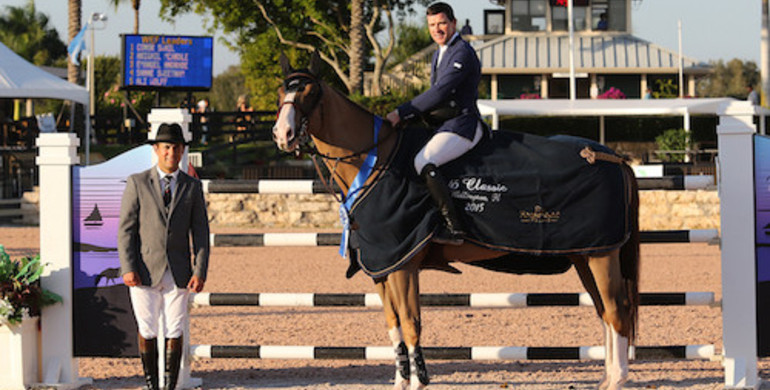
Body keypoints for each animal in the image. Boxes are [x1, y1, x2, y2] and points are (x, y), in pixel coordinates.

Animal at [270, 52, 636, 390]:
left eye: (309, 92)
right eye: (282, 92)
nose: (282, 134)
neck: (376, 160)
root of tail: (611, 156)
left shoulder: (402, 264)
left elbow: (411, 322)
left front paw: (419, 382)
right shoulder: (382, 268)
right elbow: (393, 324)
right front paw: (401, 381)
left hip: (601, 254)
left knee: (616, 310)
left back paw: (617, 379)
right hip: (586, 255)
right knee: (604, 312)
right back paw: (607, 377)